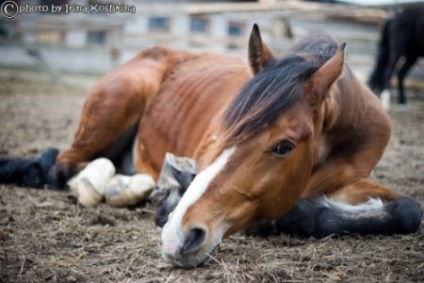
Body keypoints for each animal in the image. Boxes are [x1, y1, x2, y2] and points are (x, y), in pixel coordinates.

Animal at [48, 24, 422, 268]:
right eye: (220, 129)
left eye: (284, 146)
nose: (178, 237)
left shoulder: (350, 179)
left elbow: (408, 210)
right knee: (63, 167)